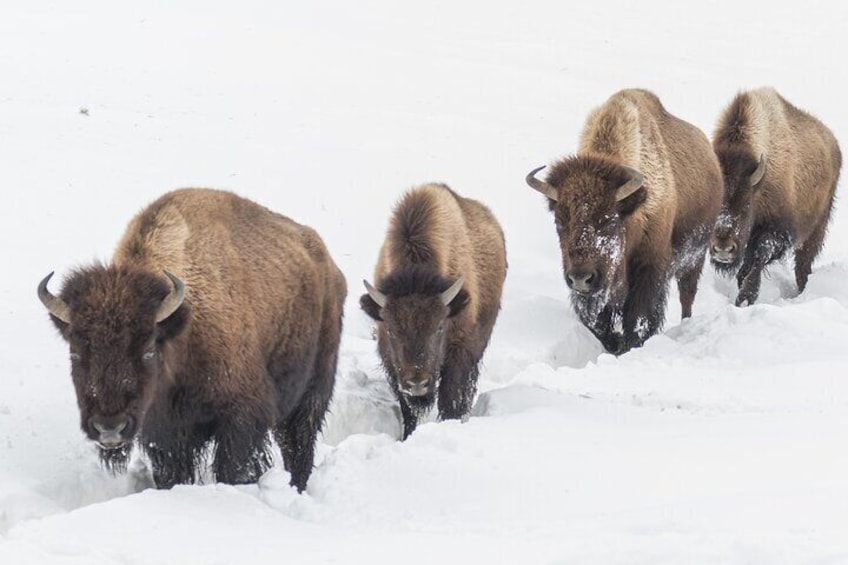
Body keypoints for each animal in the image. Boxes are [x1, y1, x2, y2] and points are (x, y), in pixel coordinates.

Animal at [38, 188, 346, 490]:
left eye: (148, 350)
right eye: (75, 353)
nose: (109, 427)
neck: (184, 326)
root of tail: (329, 266)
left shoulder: (241, 418)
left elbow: (234, 470)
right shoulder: (164, 435)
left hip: (311, 394)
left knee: (298, 446)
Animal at [358, 183, 504, 438]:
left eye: (439, 327)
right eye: (392, 330)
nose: (417, 383)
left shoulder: (459, 352)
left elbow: (451, 399)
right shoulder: (392, 363)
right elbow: (408, 410)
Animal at [528, 88, 724, 352]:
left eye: (609, 221)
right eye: (560, 223)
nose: (581, 278)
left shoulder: (650, 267)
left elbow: (639, 317)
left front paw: (629, 345)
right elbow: (601, 324)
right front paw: (613, 343)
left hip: (695, 257)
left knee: (687, 294)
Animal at [708, 86, 840, 306]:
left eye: (746, 204)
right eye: (716, 202)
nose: (723, 249)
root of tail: (833, 145)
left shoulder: (779, 232)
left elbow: (759, 256)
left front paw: (745, 298)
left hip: (815, 230)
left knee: (803, 266)